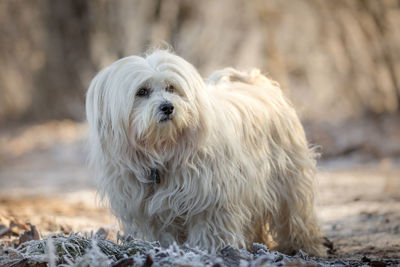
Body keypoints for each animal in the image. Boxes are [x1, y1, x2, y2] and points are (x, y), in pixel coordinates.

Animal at [85, 49, 324, 256]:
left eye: (171, 88)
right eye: (141, 92)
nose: (167, 107)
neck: (163, 151)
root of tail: (257, 82)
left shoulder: (211, 200)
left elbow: (209, 230)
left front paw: (206, 252)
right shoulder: (150, 210)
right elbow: (163, 233)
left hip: (289, 179)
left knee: (296, 215)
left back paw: (306, 246)